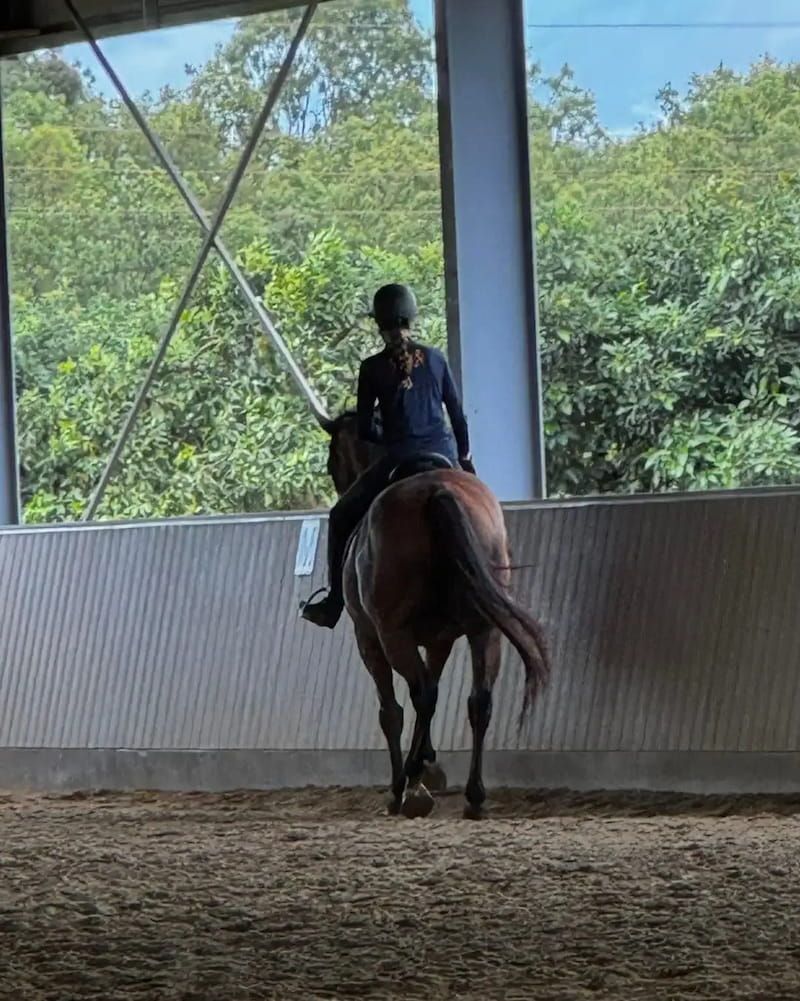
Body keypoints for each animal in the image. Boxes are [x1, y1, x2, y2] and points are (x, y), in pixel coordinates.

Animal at [320, 412, 550, 819]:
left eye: (333, 460)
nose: (338, 482)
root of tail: (436, 491)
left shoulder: (369, 639)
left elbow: (394, 710)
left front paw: (410, 779)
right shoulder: (439, 640)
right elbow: (434, 688)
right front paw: (428, 763)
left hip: (392, 634)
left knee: (419, 698)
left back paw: (407, 786)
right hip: (484, 630)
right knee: (478, 701)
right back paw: (473, 796)